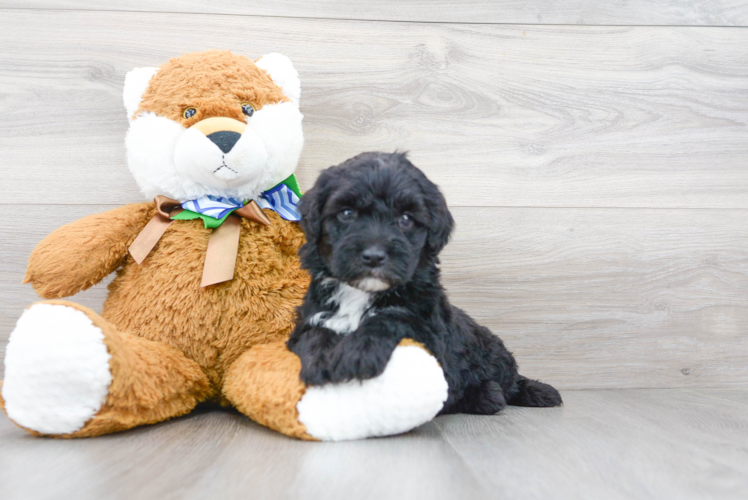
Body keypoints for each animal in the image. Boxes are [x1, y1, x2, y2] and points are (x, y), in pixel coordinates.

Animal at [288, 152, 560, 414]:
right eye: (347, 213)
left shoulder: (433, 337)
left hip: (493, 352)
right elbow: (314, 333)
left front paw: (358, 353)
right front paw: (320, 359)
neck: (363, 293)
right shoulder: (310, 318)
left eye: (406, 219)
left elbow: (392, 318)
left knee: (509, 381)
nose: (374, 256)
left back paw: (515, 393)